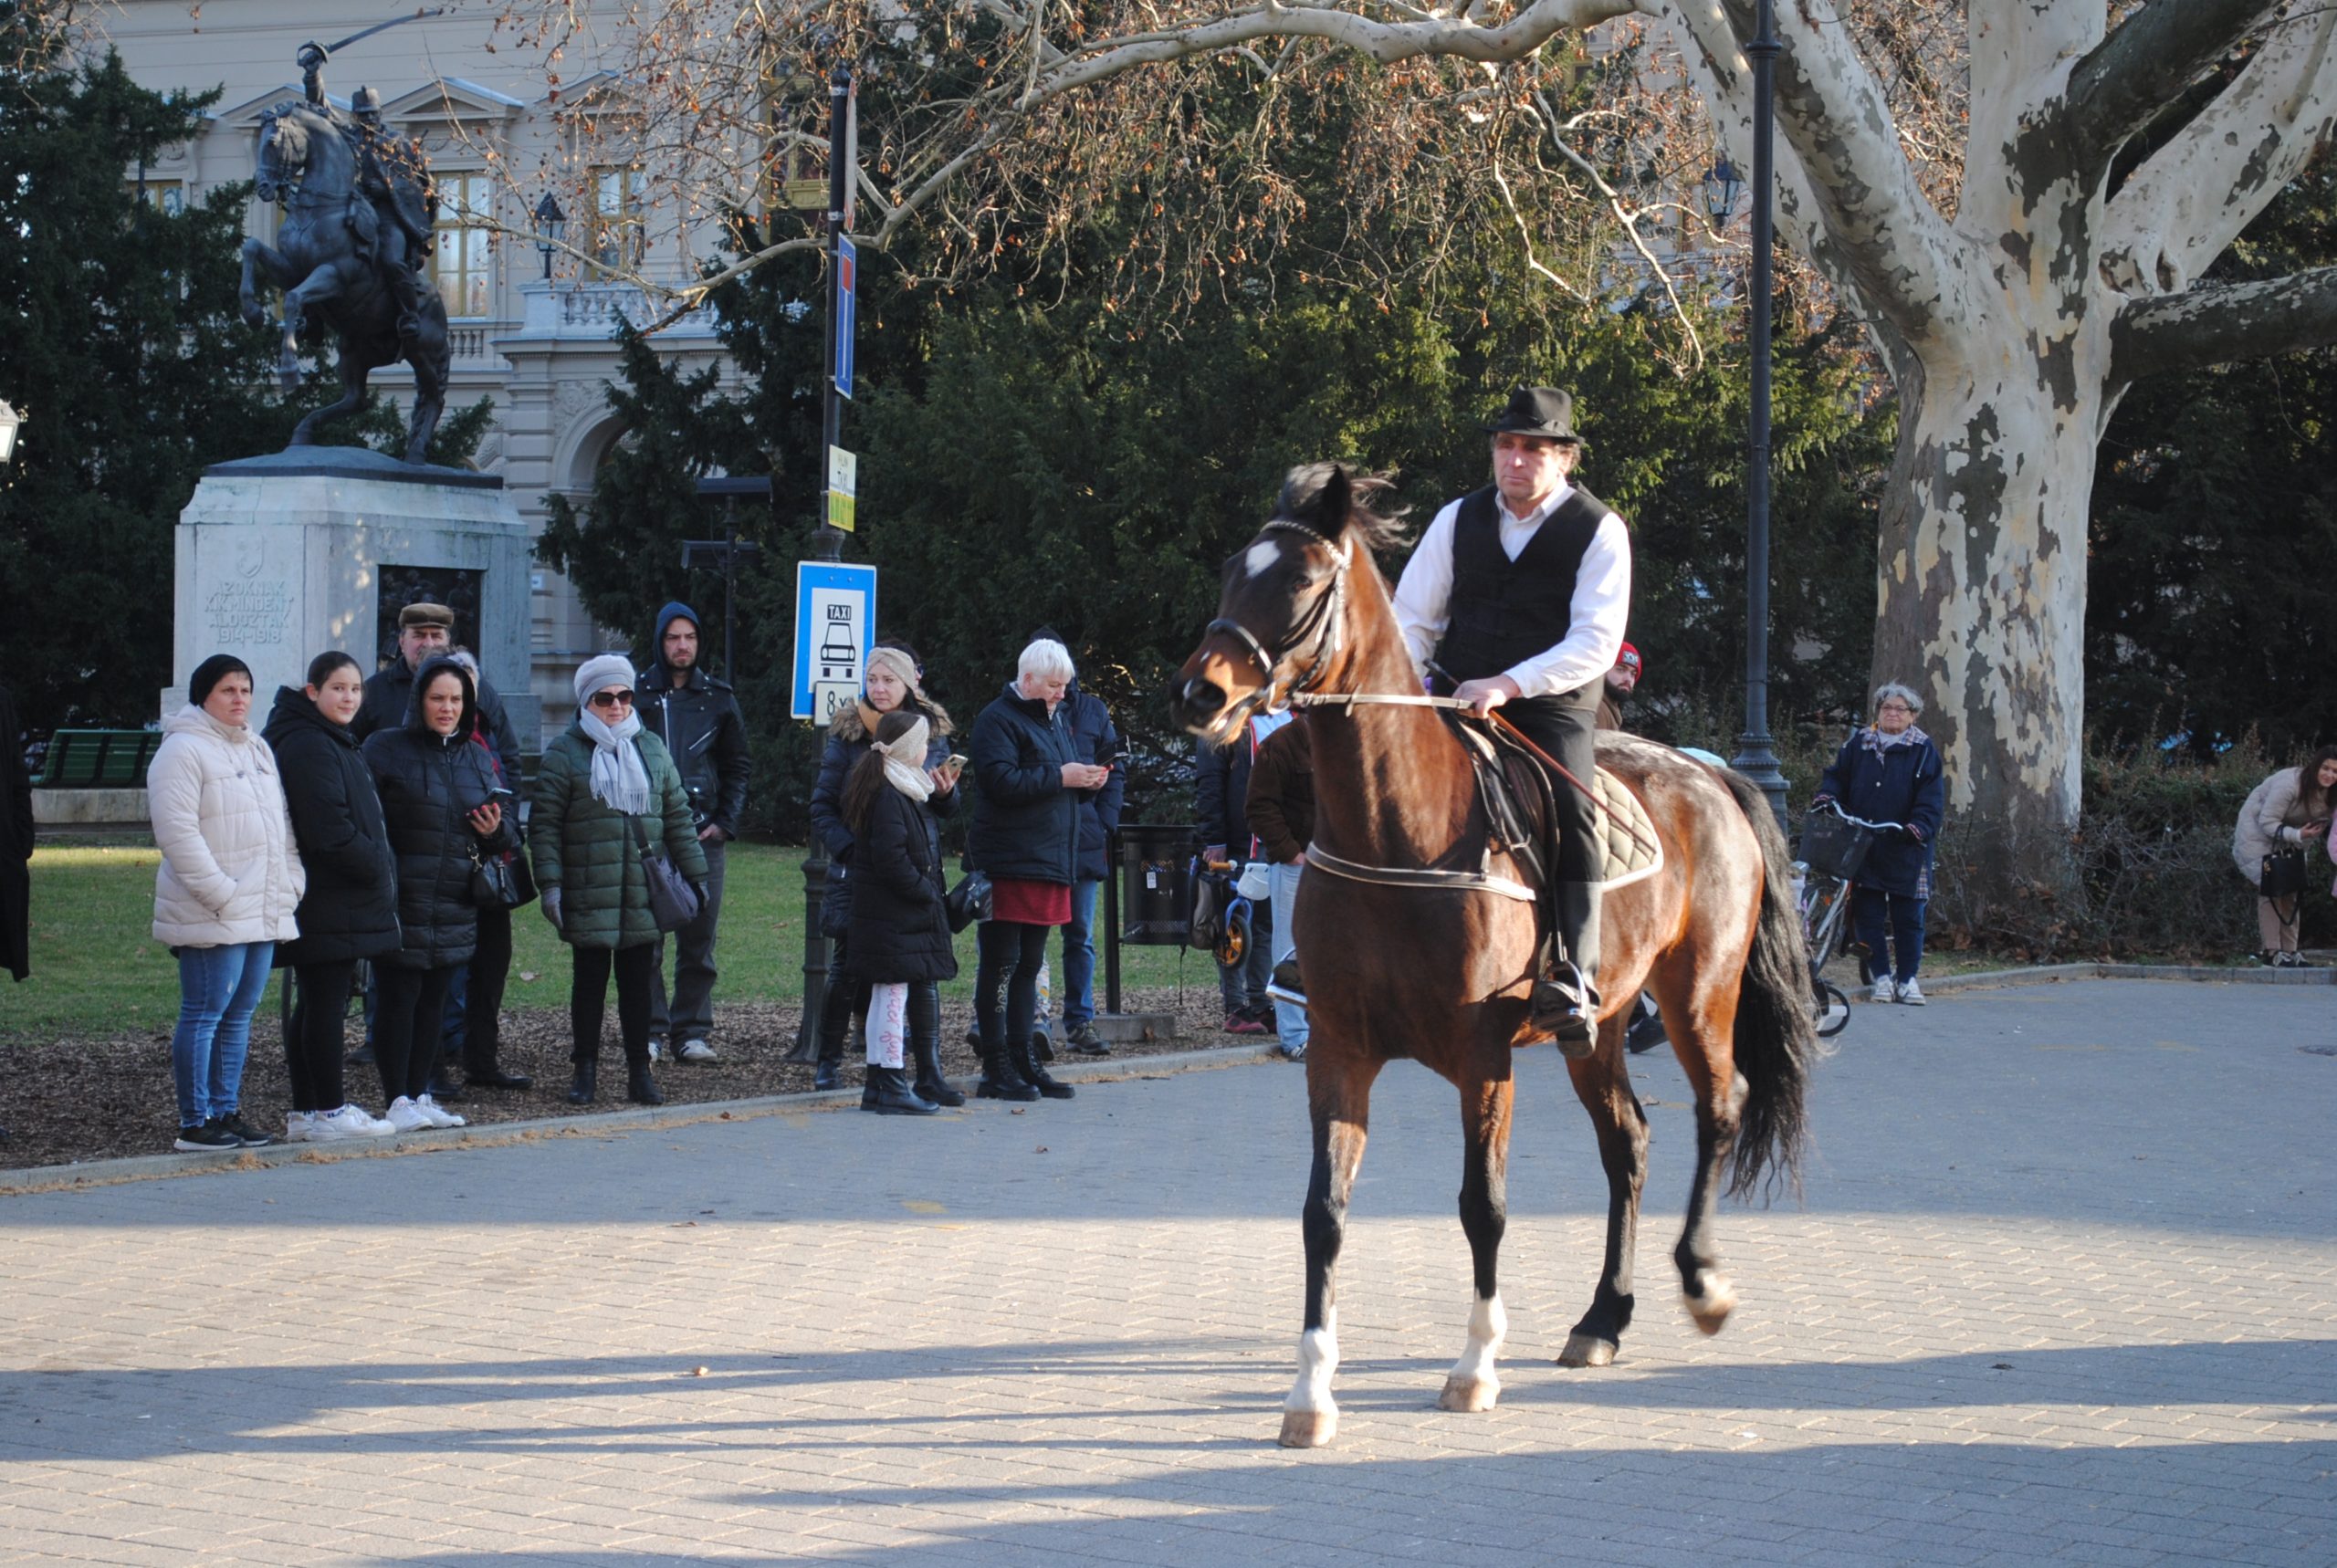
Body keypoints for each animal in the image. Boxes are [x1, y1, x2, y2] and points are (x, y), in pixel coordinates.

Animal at [1178, 462, 1813, 1448]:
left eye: (1304, 581)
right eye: (1228, 571)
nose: (1203, 695)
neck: (1400, 834)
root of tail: (1711, 771)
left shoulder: (1482, 1059)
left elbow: (1484, 1205)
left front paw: (1474, 1367)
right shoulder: (1338, 1050)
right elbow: (1324, 1212)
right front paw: (1310, 1391)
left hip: (1698, 994)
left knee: (1721, 1108)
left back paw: (1701, 1281)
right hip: (1599, 1026)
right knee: (1628, 1141)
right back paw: (1602, 1318)